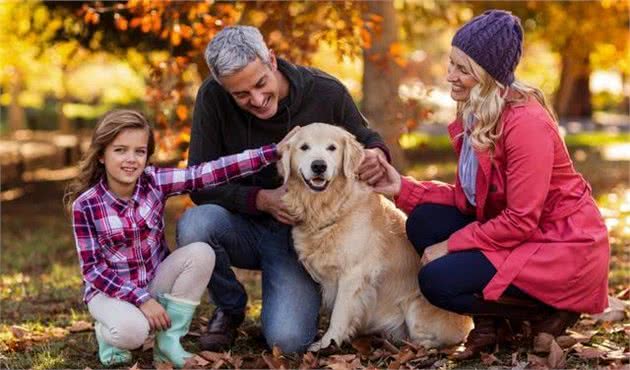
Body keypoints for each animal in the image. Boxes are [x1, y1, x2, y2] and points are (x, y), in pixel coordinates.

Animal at [278, 123, 472, 352]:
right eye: (304, 147)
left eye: (332, 148)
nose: (319, 166)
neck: (329, 206)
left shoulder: (354, 274)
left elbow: (339, 314)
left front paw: (327, 343)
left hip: (415, 309)